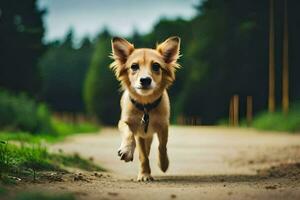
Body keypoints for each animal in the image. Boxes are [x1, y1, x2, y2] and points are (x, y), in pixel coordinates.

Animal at [110, 36, 180, 181]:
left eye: (156, 66)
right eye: (134, 66)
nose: (145, 80)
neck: (146, 107)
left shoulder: (164, 126)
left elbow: (162, 146)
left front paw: (163, 163)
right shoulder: (131, 127)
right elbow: (132, 139)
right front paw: (128, 152)